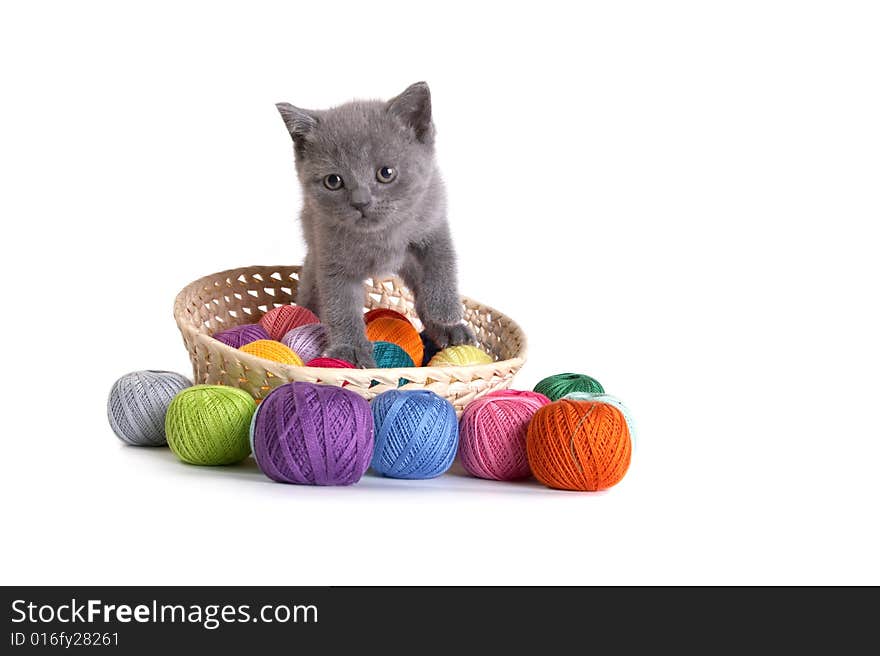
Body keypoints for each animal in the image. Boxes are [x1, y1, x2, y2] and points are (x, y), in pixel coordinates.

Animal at [276, 80, 474, 368]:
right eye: (333, 181)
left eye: (386, 173)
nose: (361, 201)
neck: (379, 236)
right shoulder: (331, 259)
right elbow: (340, 306)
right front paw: (350, 349)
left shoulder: (433, 220)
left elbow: (442, 262)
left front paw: (446, 312)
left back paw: (449, 330)